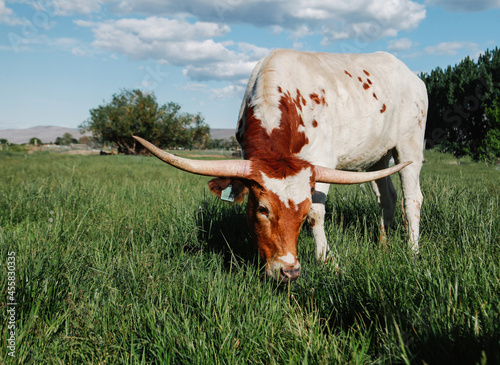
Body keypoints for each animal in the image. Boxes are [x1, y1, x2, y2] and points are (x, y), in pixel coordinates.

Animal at [135, 48, 428, 282]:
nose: (289, 272)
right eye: (262, 209)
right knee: (387, 197)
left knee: (411, 198)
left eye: (303, 211)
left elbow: (318, 214)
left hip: (409, 146)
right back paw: (383, 244)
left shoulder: (321, 161)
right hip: (378, 156)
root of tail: (411, 75)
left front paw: (326, 260)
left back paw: (413, 251)